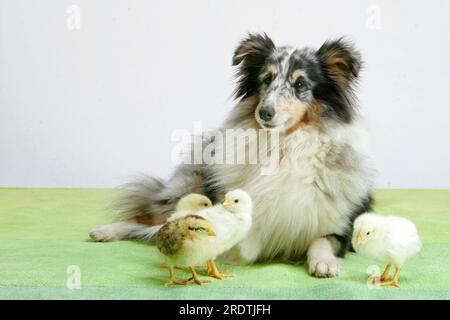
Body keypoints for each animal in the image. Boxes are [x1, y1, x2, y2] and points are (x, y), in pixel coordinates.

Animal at [89, 33, 374, 278]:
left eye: (301, 84)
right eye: (267, 79)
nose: (265, 112)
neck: (283, 147)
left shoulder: (341, 228)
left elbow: (321, 241)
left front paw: (324, 263)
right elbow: (237, 244)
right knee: (146, 218)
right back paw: (105, 231)